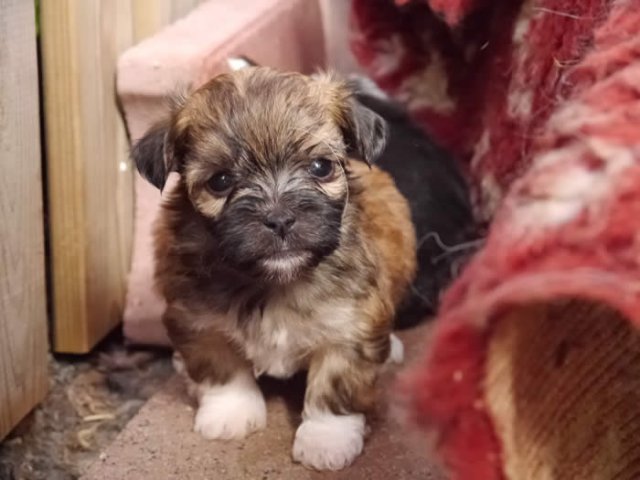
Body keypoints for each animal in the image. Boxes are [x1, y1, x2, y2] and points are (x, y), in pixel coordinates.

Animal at [132, 67, 416, 471]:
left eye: (321, 167)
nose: (279, 218)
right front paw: (230, 413)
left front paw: (326, 439)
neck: (276, 281)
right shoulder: (197, 320)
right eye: (220, 181)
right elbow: (221, 368)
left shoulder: (350, 326)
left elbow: (335, 384)